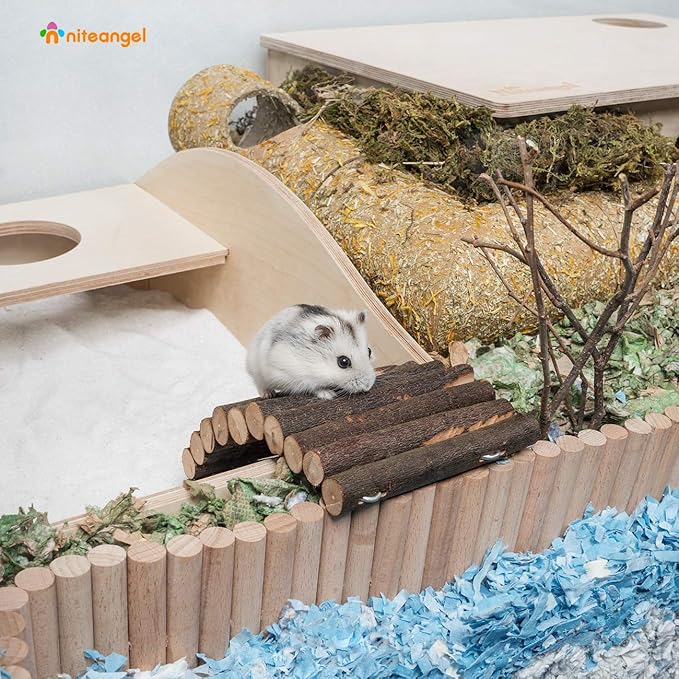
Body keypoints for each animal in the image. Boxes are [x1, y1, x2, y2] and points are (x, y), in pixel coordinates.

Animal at [246, 304, 376, 400]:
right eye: (343, 362)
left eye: (369, 351)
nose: (367, 386)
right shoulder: (292, 375)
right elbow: (314, 386)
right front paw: (329, 395)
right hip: (257, 371)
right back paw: (268, 394)